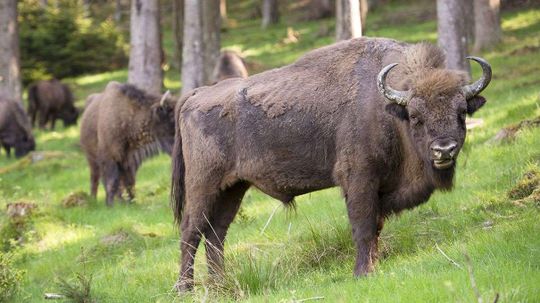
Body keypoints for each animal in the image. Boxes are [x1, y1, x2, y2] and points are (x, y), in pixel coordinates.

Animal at [171, 38, 492, 292]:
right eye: (415, 117)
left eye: (461, 112)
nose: (444, 149)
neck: (386, 109)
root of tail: (195, 95)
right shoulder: (359, 179)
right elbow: (363, 225)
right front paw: (363, 272)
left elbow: (375, 226)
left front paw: (373, 265)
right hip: (203, 186)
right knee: (191, 231)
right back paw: (185, 289)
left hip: (234, 188)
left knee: (216, 234)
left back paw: (220, 285)